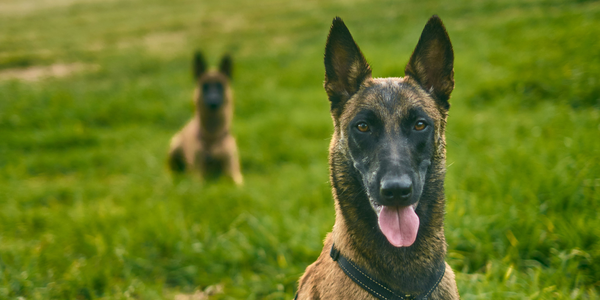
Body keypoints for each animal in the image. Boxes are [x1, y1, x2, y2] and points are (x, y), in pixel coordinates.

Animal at [168, 52, 243, 185]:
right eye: (205, 86)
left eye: (220, 86)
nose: (213, 101)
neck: (213, 139)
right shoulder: (197, 176)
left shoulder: (234, 174)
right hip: (174, 146)